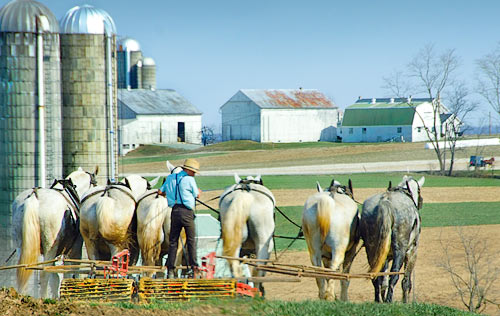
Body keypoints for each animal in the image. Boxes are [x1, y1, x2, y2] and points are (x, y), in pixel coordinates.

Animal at [11, 167, 98, 298]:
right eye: (95, 183)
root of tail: (34, 197)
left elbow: (55, 278)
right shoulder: (74, 250)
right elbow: (71, 272)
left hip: (21, 246)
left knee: (23, 270)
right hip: (50, 247)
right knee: (44, 273)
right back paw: (43, 298)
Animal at [360, 175, 426, 304]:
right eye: (419, 190)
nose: (421, 202)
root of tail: (385, 201)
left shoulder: (384, 257)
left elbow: (383, 280)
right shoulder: (412, 252)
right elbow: (406, 282)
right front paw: (405, 301)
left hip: (372, 250)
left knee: (376, 277)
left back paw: (378, 300)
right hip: (400, 249)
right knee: (394, 275)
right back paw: (389, 300)